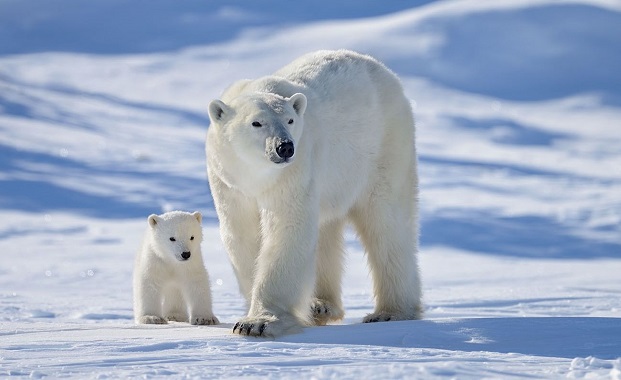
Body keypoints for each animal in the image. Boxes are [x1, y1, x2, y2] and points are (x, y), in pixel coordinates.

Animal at [206, 49, 424, 336]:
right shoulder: (230, 184)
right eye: (256, 123)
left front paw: (258, 322)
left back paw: (390, 312)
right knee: (326, 231)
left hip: (383, 148)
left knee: (387, 222)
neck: (256, 175)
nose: (285, 147)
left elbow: (287, 228)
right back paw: (321, 306)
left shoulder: (294, 172)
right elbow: (243, 234)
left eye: (290, 120)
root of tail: (383, 70)